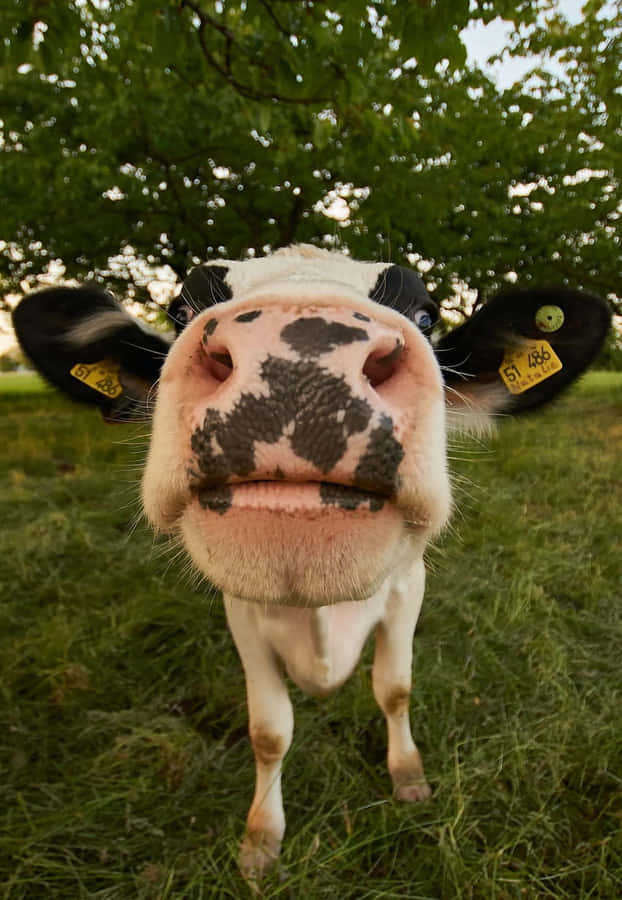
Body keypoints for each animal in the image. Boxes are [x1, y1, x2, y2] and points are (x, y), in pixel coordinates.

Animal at [12, 245, 611, 880]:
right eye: (180, 311)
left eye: (426, 315)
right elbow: (269, 731)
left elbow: (395, 689)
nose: (298, 359)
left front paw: (408, 775)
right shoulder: (242, 613)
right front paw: (261, 838)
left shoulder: (408, 587)